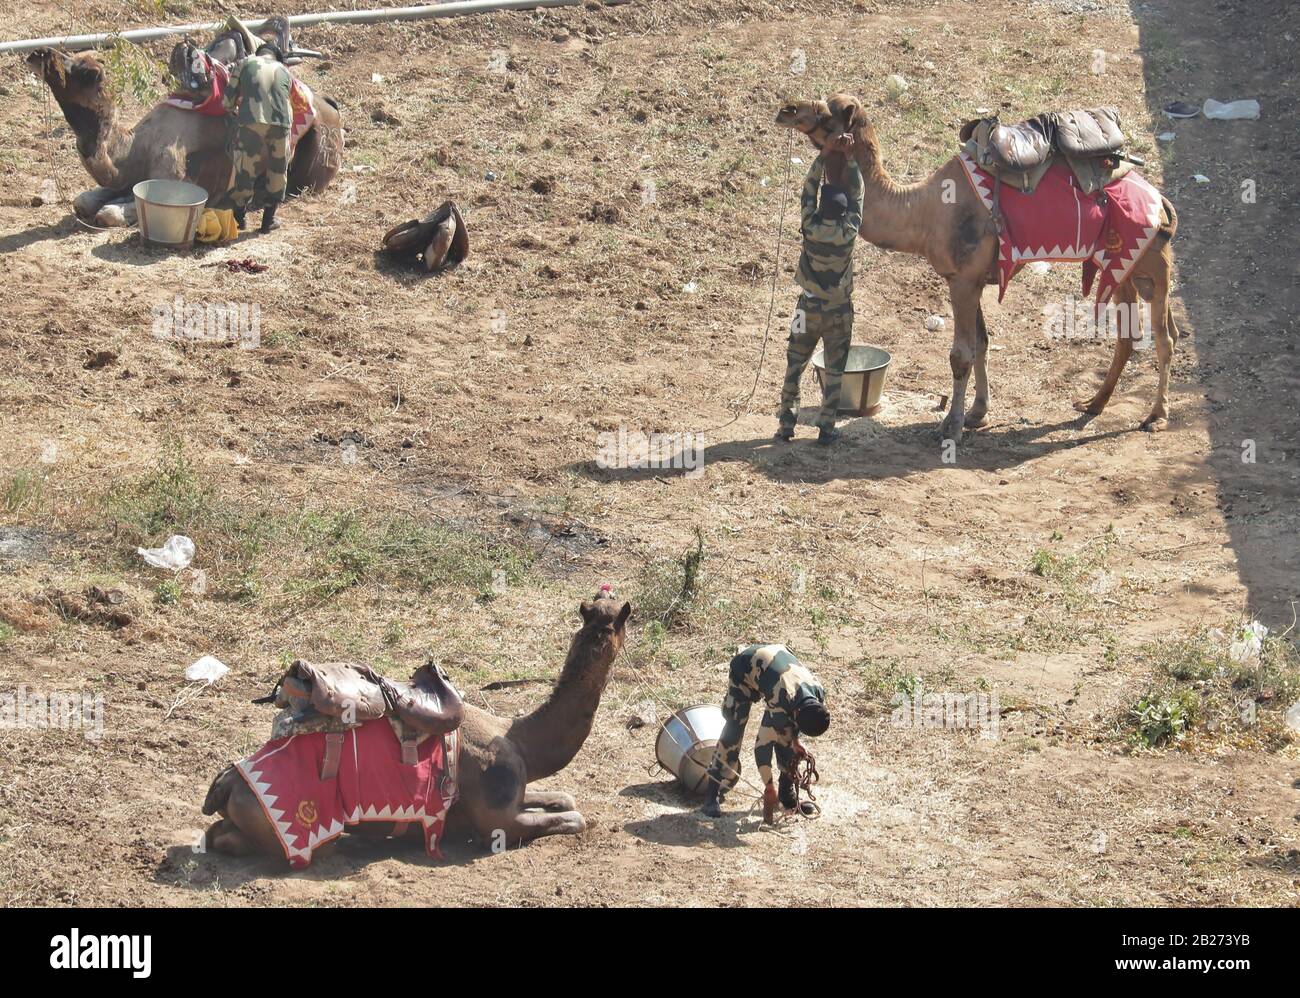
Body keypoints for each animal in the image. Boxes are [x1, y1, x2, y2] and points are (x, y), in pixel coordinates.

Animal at [200, 587, 631, 862]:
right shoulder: (498, 816)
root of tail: (227, 782)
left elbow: (566, 799)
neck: (522, 740)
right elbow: (574, 817)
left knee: (216, 835)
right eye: (629, 616)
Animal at [774, 95, 1185, 439]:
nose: (786, 110)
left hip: (1152, 260)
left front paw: (951, 426)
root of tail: (1161, 201)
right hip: (1124, 267)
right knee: (1131, 336)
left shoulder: (964, 280)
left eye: (825, 114)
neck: (922, 209)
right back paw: (1093, 404)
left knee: (1164, 337)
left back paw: (1155, 416)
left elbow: (961, 354)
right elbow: (983, 344)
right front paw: (976, 414)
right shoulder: (968, 279)